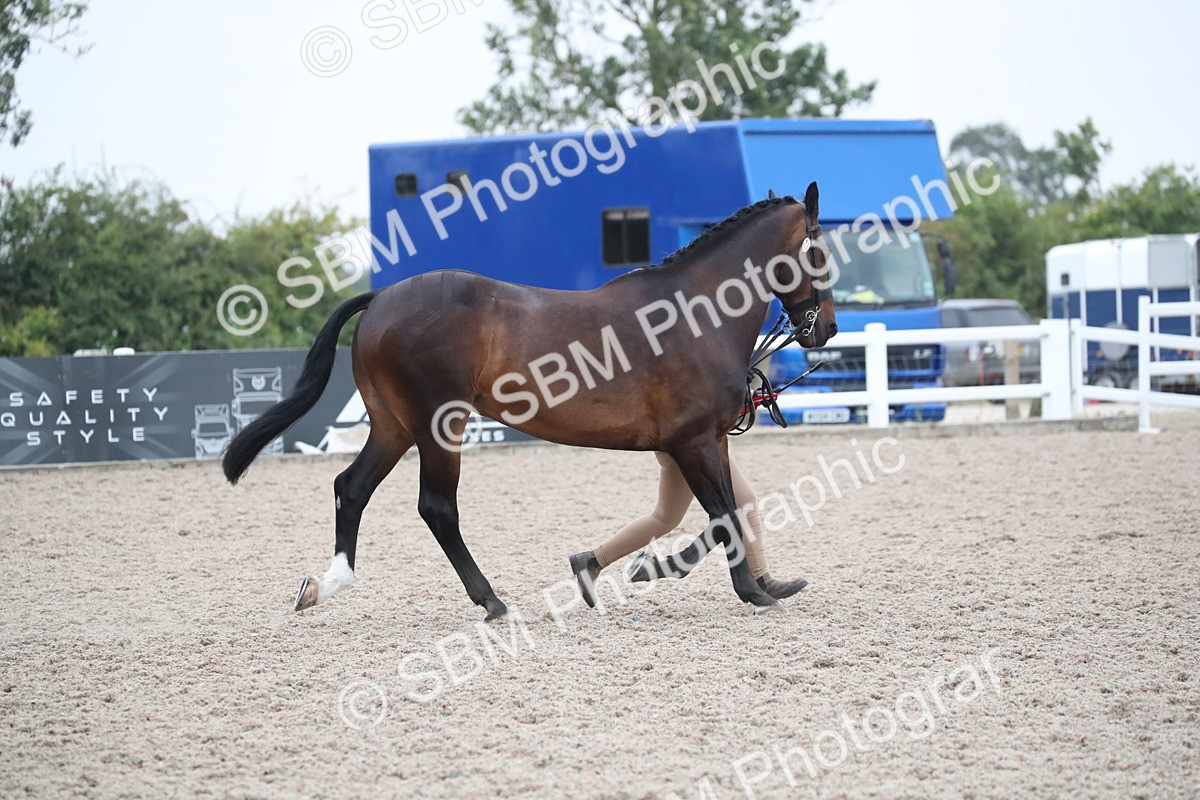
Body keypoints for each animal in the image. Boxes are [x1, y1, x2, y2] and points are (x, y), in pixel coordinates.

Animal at [222, 182, 837, 619]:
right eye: (823, 253)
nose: (826, 330)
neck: (695, 312)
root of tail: (381, 298)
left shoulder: (707, 440)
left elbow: (728, 510)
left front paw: (746, 580)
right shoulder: (692, 442)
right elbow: (723, 515)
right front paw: (744, 590)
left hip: (393, 426)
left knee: (351, 487)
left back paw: (325, 584)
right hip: (438, 425)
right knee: (436, 507)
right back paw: (491, 601)